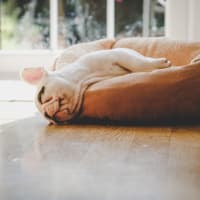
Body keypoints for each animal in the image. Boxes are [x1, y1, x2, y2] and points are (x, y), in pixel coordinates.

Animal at [21, 45, 171, 123]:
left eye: (41, 95)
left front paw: (158, 65)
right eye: (47, 118)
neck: (83, 78)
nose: (48, 114)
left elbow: (137, 63)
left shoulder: (118, 56)